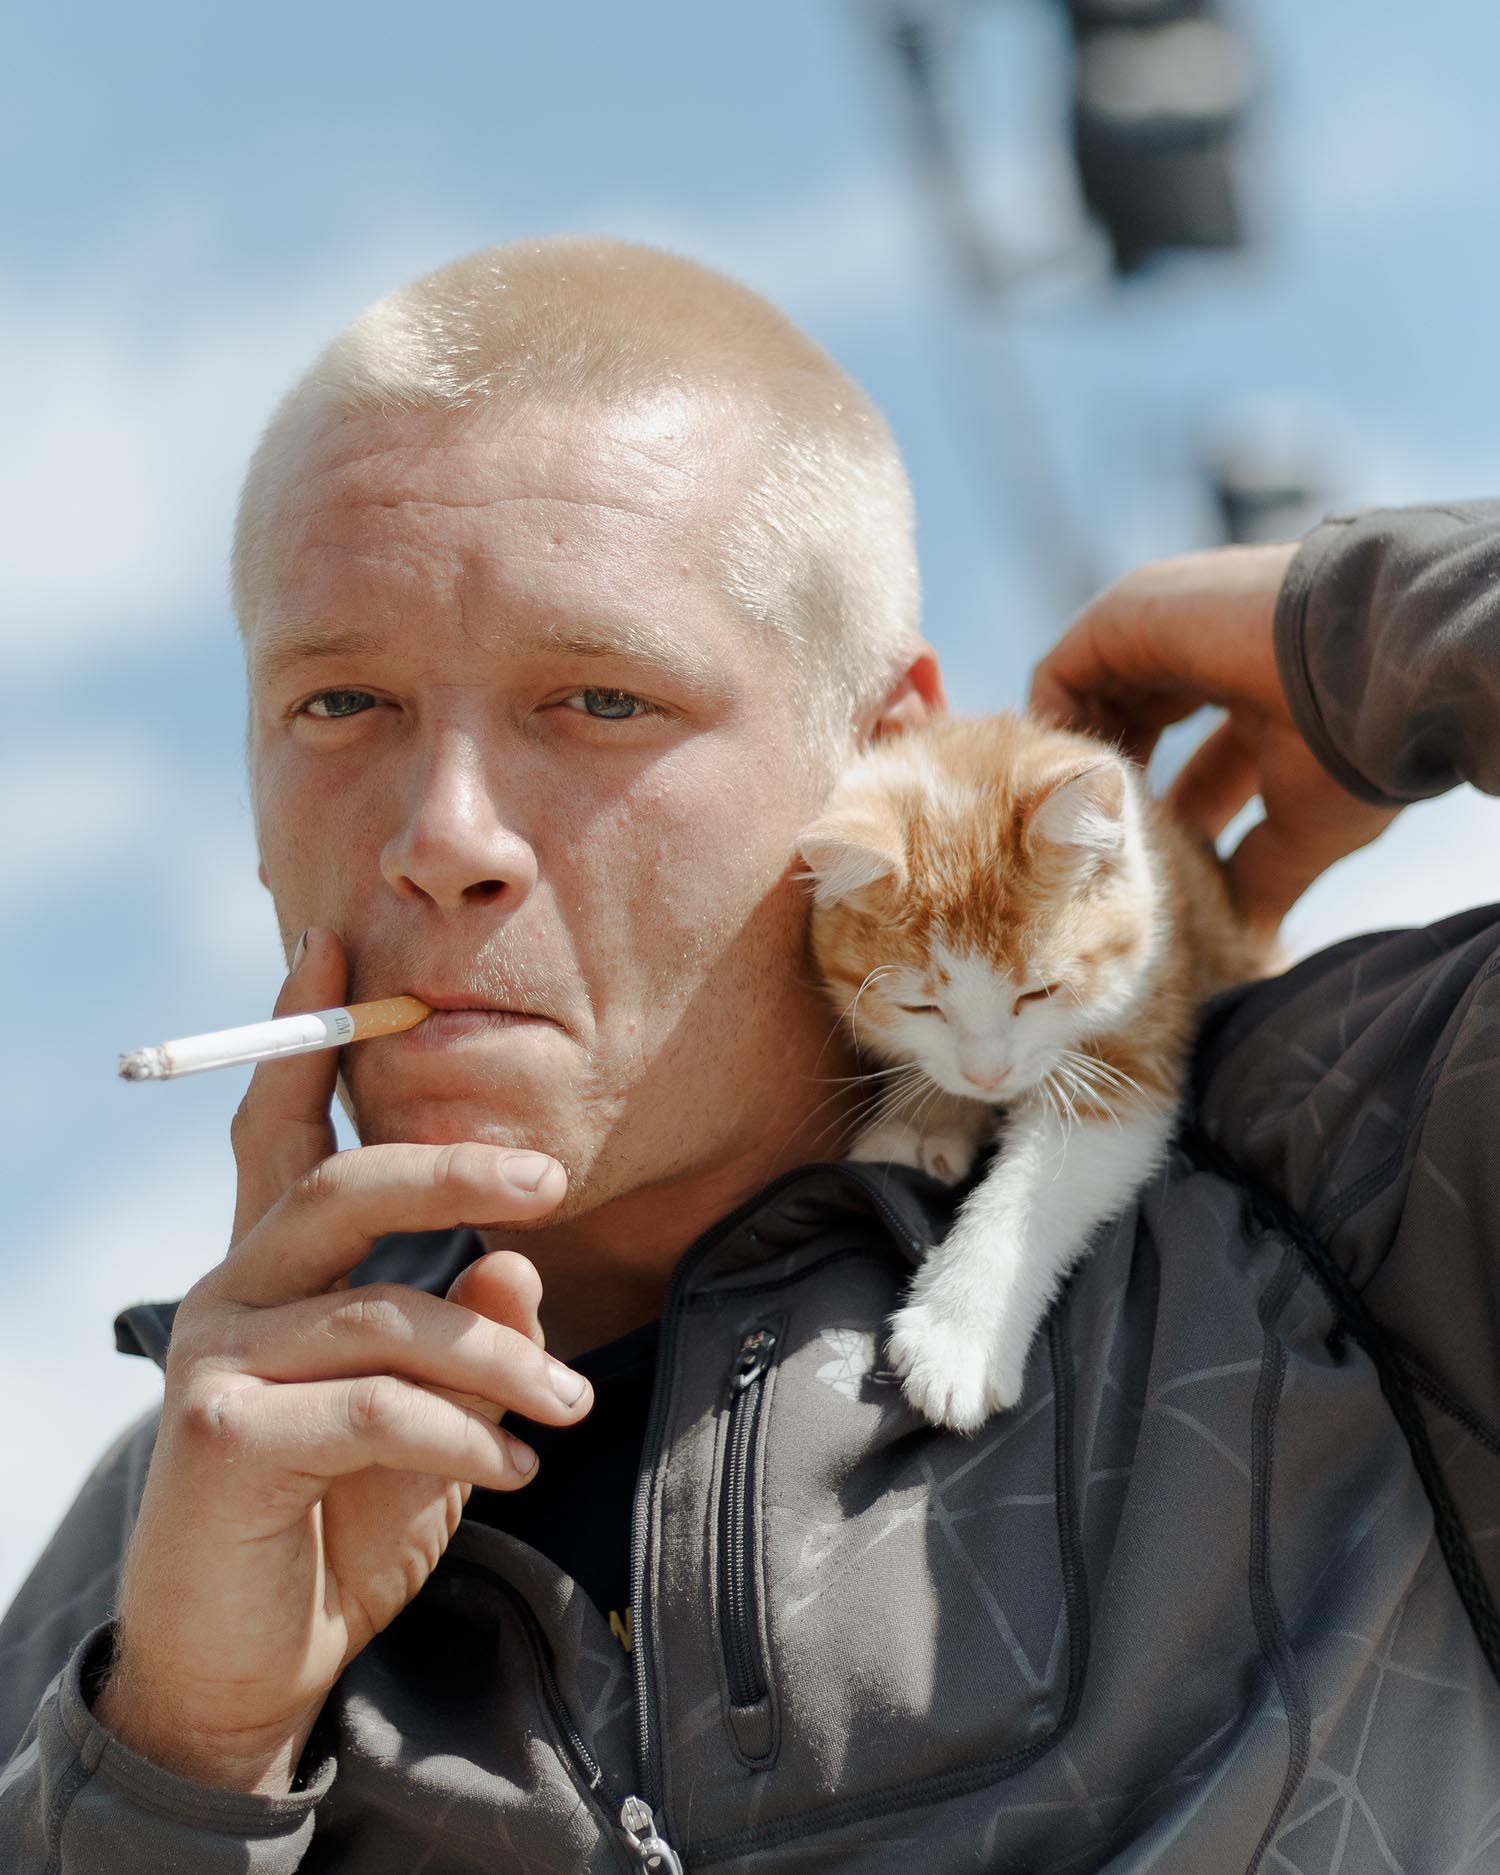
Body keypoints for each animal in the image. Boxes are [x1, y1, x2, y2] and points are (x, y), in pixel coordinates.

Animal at [802, 708, 1275, 1425]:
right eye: (921, 1006)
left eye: (1040, 992)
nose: (987, 1074)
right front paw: (923, 1118)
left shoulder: (1137, 1047)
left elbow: (1043, 1182)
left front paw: (961, 1328)